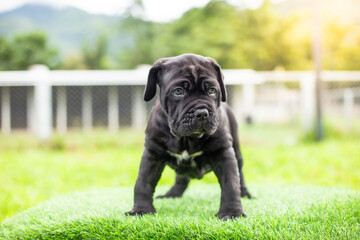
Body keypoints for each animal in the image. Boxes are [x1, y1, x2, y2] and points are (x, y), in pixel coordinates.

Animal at [125, 54, 252, 219]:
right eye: (178, 91)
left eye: (212, 90)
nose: (202, 113)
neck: (186, 139)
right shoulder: (153, 153)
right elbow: (143, 182)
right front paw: (141, 210)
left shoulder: (223, 151)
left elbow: (231, 183)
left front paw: (231, 213)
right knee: (181, 178)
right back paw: (171, 194)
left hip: (236, 149)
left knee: (240, 174)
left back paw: (246, 194)